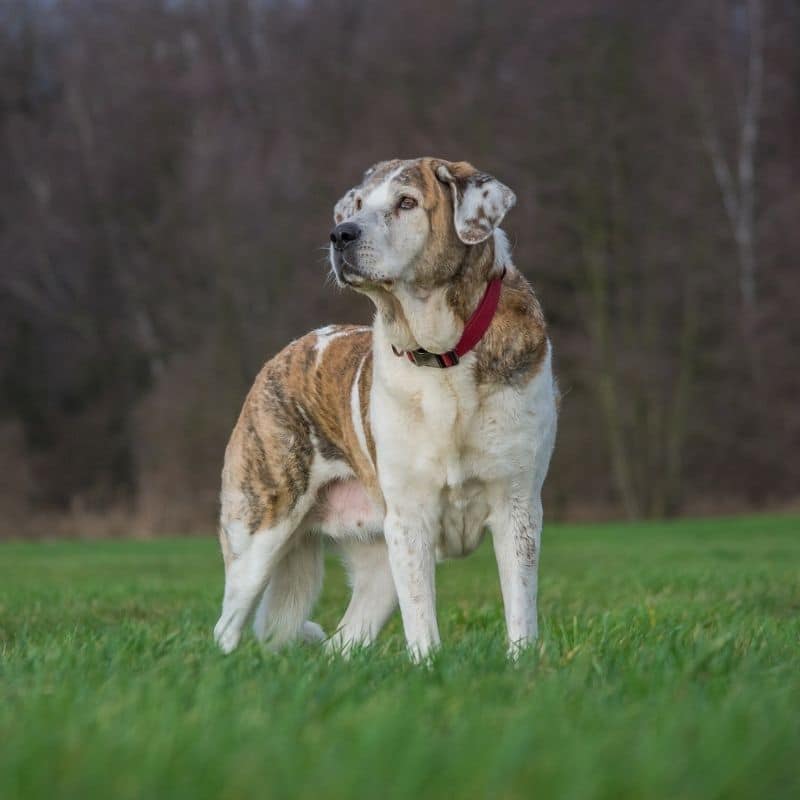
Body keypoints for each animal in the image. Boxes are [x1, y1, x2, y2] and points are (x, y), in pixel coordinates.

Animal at [216, 158, 560, 664]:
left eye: (407, 203)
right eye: (358, 204)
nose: (341, 233)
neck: (443, 356)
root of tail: (285, 353)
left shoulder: (517, 508)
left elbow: (520, 609)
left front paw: (521, 667)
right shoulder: (410, 520)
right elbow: (422, 618)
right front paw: (429, 667)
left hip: (376, 563)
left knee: (343, 641)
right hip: (260, 530)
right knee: (226, 625)